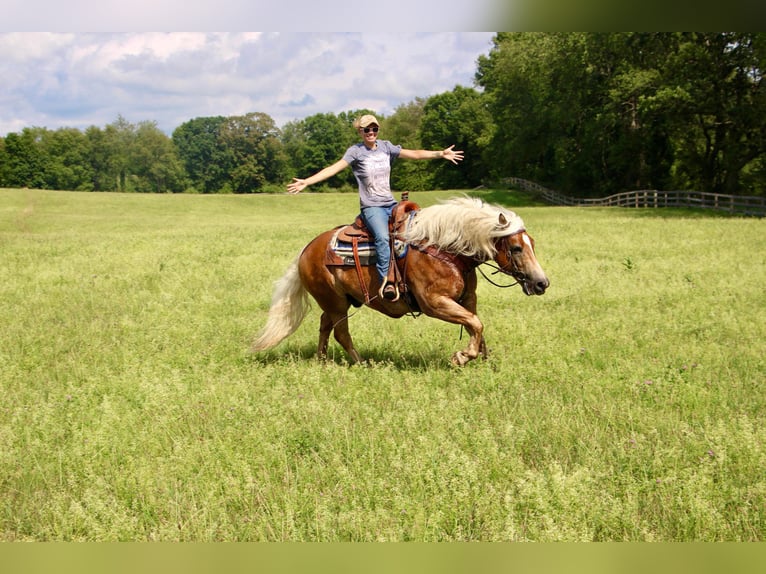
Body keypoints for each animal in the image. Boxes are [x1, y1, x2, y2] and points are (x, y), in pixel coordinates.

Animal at [255, 197, 548, 368]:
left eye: (532, 244)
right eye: (516, 248)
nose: (542, 283)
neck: (444, 247)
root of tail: (306, 250)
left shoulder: (467, 298)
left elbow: (475, 324)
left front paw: (483, 359)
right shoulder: (435, 303)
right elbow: (476, 323)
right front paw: (463, 357)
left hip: (339, 302)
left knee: (325, 326)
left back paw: (322, 360)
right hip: (335, 302)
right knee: (341, 332)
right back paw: (362, 363)